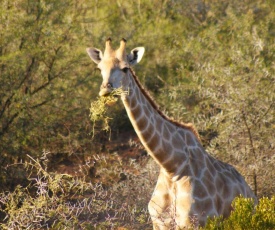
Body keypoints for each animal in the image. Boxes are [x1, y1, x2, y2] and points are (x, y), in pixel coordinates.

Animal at [87, 38, 258, 229]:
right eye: (99, 68)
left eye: (125, 68)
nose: (105, 90)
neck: (172, 167)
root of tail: (252, 195)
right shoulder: (159, 222)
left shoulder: (197, 223)